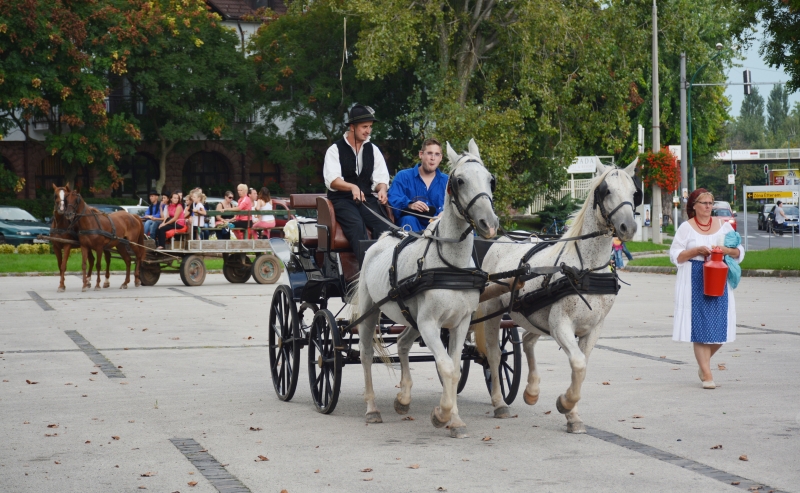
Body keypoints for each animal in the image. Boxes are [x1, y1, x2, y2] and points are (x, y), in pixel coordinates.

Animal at [352, 138, 496, 438]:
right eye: (460, 181)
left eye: (491, 179)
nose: (489, 224)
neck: (451, 267)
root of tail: (382, 239)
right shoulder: (430, 323)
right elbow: (447, 367)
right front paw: (441, 415)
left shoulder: (459, 323)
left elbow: (454, 367)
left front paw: (454, 419)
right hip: (371, 311)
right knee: (366, 355)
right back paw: (372, 408)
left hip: (412, 319)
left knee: (403, 344)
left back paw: (403, 399)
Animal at [476, 160, 636, 432]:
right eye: (606, 191)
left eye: (635, 192)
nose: (629, 227)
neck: (587, 269)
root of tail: (504, 237)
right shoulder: (560, 324)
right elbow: (578, 364)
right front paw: (565, 403)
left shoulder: (594, 328)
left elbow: (581, 367)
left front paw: (572, 415)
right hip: (491, 312)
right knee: (495, 355)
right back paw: (499, 402)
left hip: (535, 316)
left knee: (528, 340)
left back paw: (531, 391)